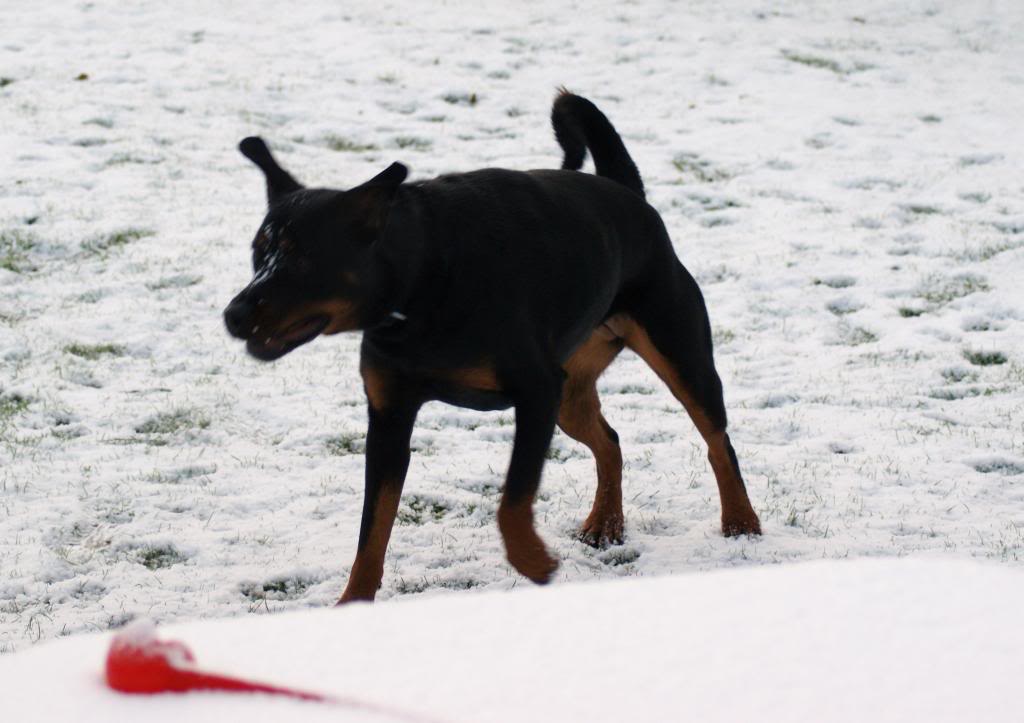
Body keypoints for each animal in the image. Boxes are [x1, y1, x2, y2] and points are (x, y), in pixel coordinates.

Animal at [226, 90, 770, 598]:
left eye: (301, 259)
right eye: (257, 253)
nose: (233, 314)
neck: (423, 281)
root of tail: (626, 191)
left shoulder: (535, 392)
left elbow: (512, 500)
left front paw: (533, 560)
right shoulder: (389, 416)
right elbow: (372, 529)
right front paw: (352, 603)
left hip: (678, 353)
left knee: (717, 439)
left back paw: (740, 521)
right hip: (571, 394)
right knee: (611, 442)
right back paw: (605, 523)